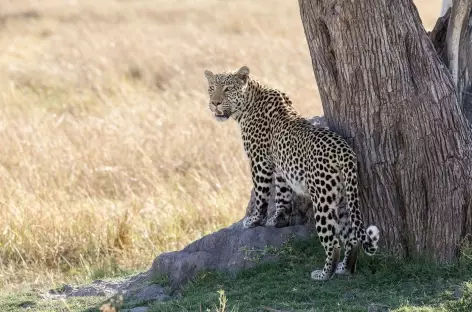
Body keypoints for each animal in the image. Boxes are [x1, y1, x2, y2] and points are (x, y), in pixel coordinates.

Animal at [203, 65, 380, 280]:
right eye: (211, 88)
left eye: (227, 89)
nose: (215, 103)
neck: (248, 103)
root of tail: (345, 151)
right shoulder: (280, 167)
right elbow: (282, 194)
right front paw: (277, 219)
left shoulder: (259, 161)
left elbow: (261, 194)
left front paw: (255, 220)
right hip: (343, 199)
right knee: (351, 237)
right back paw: (345, 269)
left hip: (322, 200)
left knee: (334, 241)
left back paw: (323, 274)